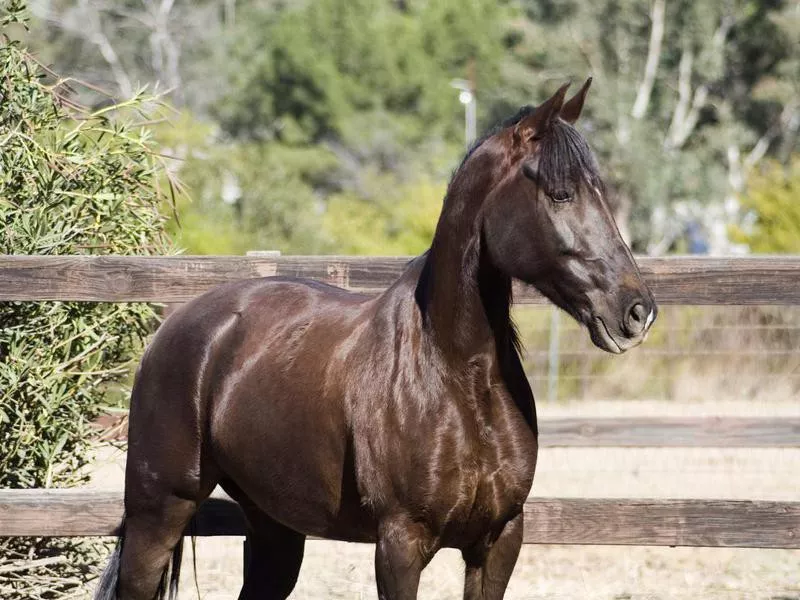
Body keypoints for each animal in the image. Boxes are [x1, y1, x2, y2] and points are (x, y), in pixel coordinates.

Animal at [95, 81, 656, 600]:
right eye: (561, 193)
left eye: (601, 192)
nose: (636, 311)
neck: (457, 374)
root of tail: (177, 328)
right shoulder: (400, 543)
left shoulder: (499, 540)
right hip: (158, 511)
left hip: (275, 528)